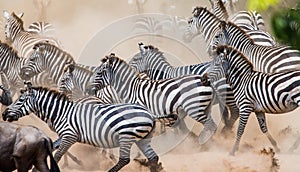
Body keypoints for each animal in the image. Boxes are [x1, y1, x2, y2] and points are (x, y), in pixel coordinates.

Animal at [2, 82, 164, 171]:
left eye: (20, 100)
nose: (4, 114)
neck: (62, 112)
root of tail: (150, 114)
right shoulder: (64, 136)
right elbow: (52, 149)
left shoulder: (70, 136)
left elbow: (57, 155)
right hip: (143, 138)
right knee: (153, 158)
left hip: (127, 137)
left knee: (124, 160)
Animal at [88, 53, 217, 143]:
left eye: (99, 73)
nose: (89, 89)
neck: (131, 89)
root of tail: (205, 80)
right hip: (205, 108)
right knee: (210, 126)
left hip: (194, 109)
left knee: (210, 125)